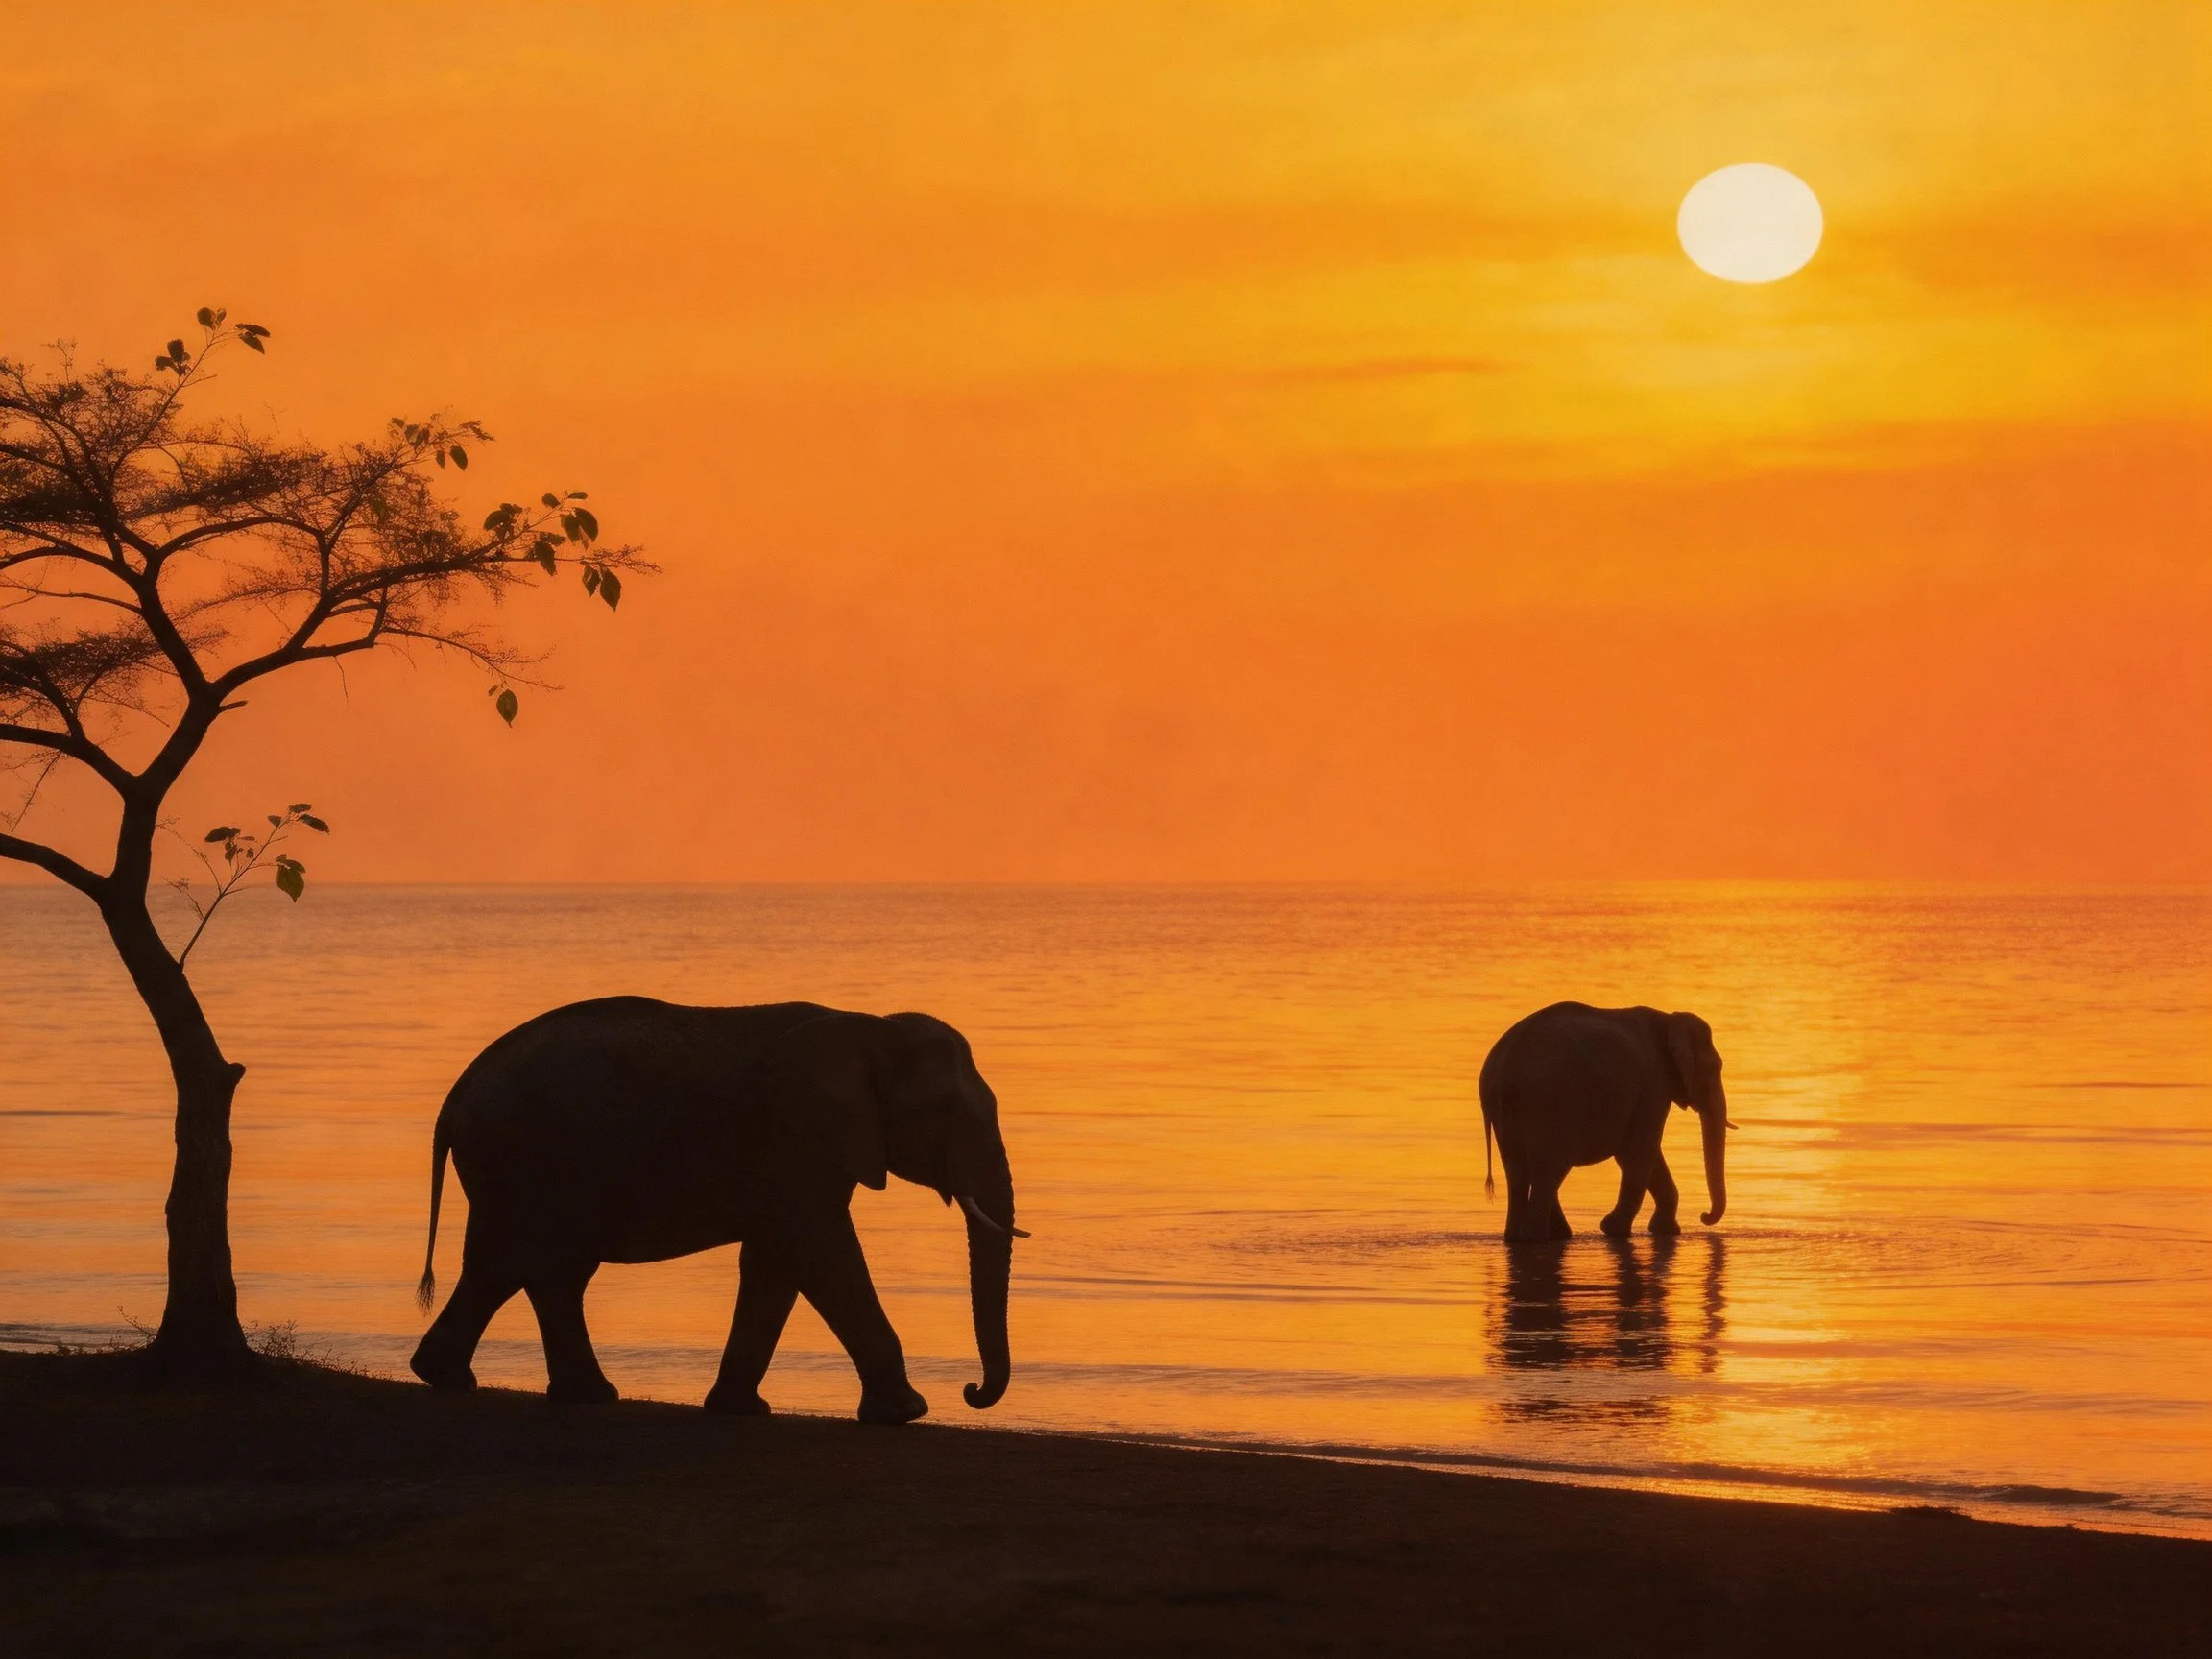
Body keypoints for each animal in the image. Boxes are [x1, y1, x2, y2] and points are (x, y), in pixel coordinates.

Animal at [407, 997, 1023, 1423]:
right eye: (947, 1113)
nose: (971, 1391)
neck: (869, 1027)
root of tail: (456, 1094)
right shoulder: (793, 1138)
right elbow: (821, 1252)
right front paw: (906, 1413)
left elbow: (778, 1261)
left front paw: (740, 1410)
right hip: (522, 1157)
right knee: (528, 1264)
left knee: (517, 1268)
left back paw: (481, 1382)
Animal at [1478, 1003, 1731, 1245]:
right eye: (1714, 1068)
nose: (1704, 1215)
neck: (1669, 1019)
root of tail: (1503, 1068)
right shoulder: (1653, 1083)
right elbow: (1640, 1150)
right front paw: (1614, 1230)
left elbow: (1645, 1153)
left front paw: (1665, 1231)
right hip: (1549, 1105)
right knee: (1549, 1170)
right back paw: (1536, 1239)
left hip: (1507, 1111)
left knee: (1518, 1172)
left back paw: (1526, 1237)